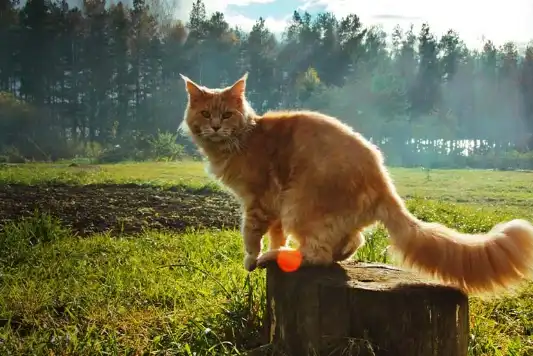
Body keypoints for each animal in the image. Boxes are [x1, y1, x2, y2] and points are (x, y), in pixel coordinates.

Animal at [178, 73, 532, 294]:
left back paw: (276, 258)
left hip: (300, 206)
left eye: (226, 115)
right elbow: (275, 234)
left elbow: (251, 235)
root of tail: (383, 181)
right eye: (206, 113)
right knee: (350, 242)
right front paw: (271, 249)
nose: (214, 126)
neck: (242, 139)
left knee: (318, 254)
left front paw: (253, 259)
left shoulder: (259, 201)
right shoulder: (273, 207)